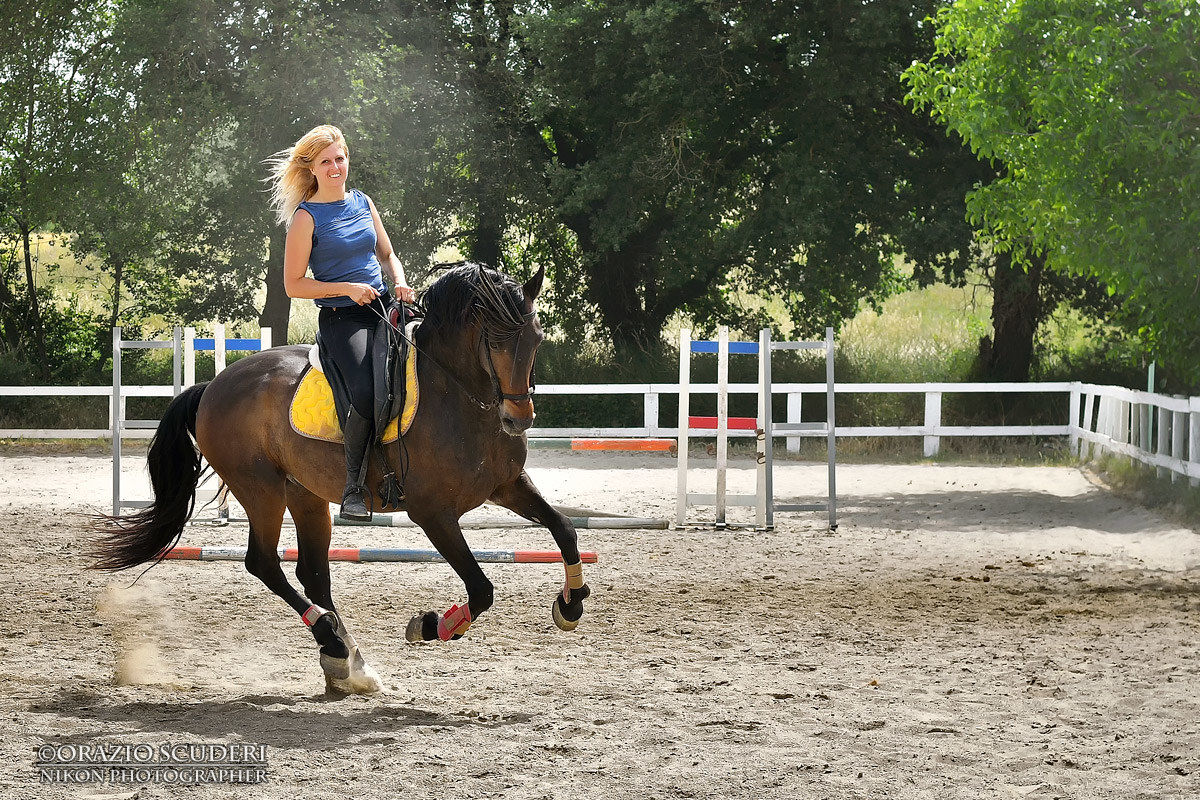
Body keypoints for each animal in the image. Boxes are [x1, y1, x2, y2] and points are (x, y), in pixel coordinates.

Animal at [92, 262, 590, 694]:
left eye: (536, 339)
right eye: (495, 341)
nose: (518, 419)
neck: (460, 395)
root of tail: (213, 386)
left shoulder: (507, 486)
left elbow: (564, 528)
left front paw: (570, 604)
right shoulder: (433, 513)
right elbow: (482, 589)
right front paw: (431, 625)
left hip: (305, 495)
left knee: (312, 573)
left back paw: (347, 663)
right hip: (261, 491)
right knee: (263, 563)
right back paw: (334, 643)